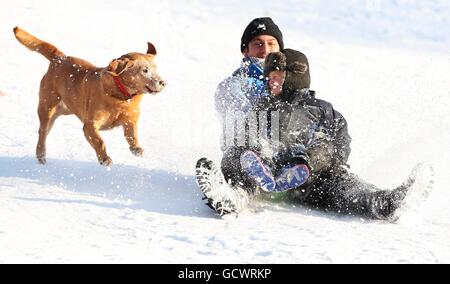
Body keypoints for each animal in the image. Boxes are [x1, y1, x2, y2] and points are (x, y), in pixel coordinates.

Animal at [14, 26, 166, 166]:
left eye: (156, 69)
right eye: (145, 70)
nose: (163, 82)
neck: (121, 96)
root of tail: (59, 58)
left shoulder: (130, 120)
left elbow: (132, 135)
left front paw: (136, 149)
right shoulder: (90, 125)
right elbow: (99, 141)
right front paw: (104, 159)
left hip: (64, 109)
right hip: (47, 108)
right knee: (42, 132)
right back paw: (41, 155)